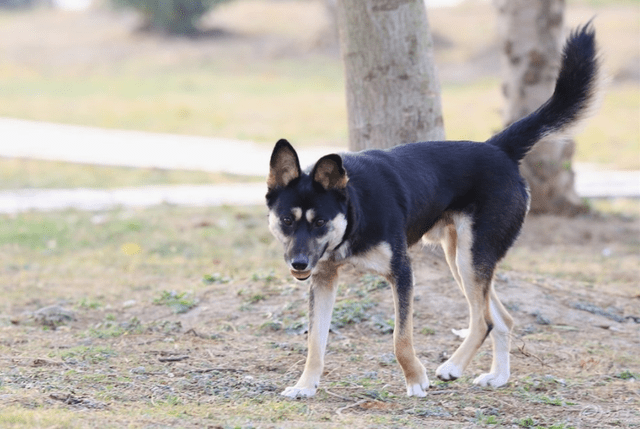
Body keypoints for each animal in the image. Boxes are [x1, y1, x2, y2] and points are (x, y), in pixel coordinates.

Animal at [264, 24, 600, 398]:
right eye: (286, 221)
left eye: (320, 221)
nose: (298, 264)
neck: (354, 209)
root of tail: (499, 148)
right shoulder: (323, 279)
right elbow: (315, 342)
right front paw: (305, 385)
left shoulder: (402, 272)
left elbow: (400, 339)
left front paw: (414, 379)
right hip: (460, 258)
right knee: (502, 319)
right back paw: (498, 377)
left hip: (470, 257)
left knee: (483, 320)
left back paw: (452, 366)